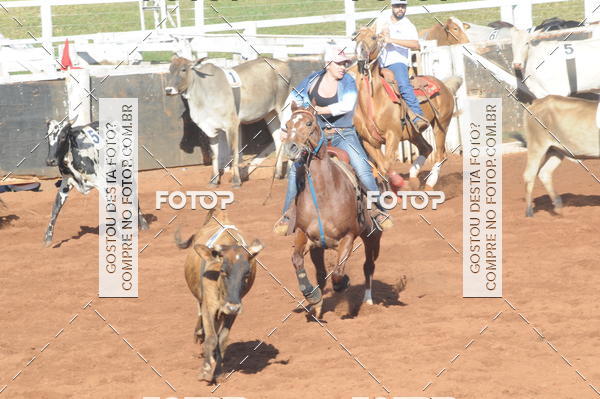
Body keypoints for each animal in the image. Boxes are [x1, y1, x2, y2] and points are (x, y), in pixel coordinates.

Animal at [43, 119, 149, 247]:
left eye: (63, 136)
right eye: (47, 137)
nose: (50, 161)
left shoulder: (101, 182)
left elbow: (111, 206)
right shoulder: (65, 183)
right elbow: (56, 208)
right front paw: (48, 238)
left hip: (125, 170)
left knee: (133, 194)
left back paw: (143, 225)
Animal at [165, 55, 292, 186]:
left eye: (183, 69)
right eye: (170, 70)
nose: (168, 90)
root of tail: (283, 64)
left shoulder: (232, 125)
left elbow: (233, 153)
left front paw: (236, 180)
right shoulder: (212, 127)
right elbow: (215, 154)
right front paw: (214, 180)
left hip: (283, 108)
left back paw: (288, 174)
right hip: (270, 113)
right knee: (278, 139)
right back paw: (277, 174)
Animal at [176, 208, 264, 382]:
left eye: (247, 273)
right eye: (223, 271)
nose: (232, 306)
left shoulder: (232, 310)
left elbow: (222, 339)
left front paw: (218, 371)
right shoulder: (208, 306)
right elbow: (211, 338)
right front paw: (205, 370)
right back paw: (199, 335)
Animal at [282, 101, 384, 318]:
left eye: (309, 123)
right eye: (287, 124)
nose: (290, 148)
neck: (323, 195)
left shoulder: (348, 236)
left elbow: (337, 273)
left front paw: (343, 283)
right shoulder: (305, 234)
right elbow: (297, 260)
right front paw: (312, 297)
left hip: (373, 237)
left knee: (368, 266)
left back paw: (368, 300)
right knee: (321, 273)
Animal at [354, 25, 462, 190]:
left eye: (373, 37)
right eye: (356, 37)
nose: (360, 51)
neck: (374, 99)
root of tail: (444, 86)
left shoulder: (393, 135)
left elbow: (385, 166)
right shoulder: (369, 141)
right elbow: (381, 167)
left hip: (441, 125)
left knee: (440, 154)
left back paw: (429, 184)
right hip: (413, 133)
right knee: (427, 148)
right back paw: (413, 180)